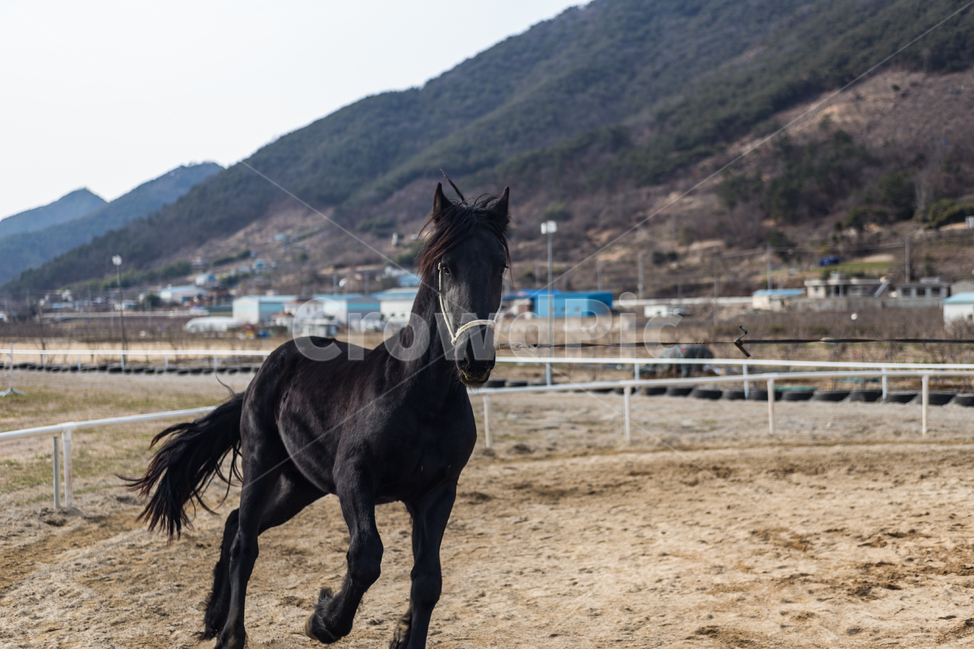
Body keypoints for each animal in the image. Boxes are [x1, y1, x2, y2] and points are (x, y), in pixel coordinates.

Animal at [126, 183, 511, 648]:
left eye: (500, 265)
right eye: (445, 266)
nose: (475, 359)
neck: (423, 400)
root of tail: (265, 370)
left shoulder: (437, 492)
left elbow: (427, 582)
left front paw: (402, 634)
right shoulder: (354, 476)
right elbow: (366, 556)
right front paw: (323, 620)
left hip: (301, 484)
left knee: (236, 525)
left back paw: (213, 618)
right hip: (263, 463)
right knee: (245, 543)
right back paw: (231, 634)